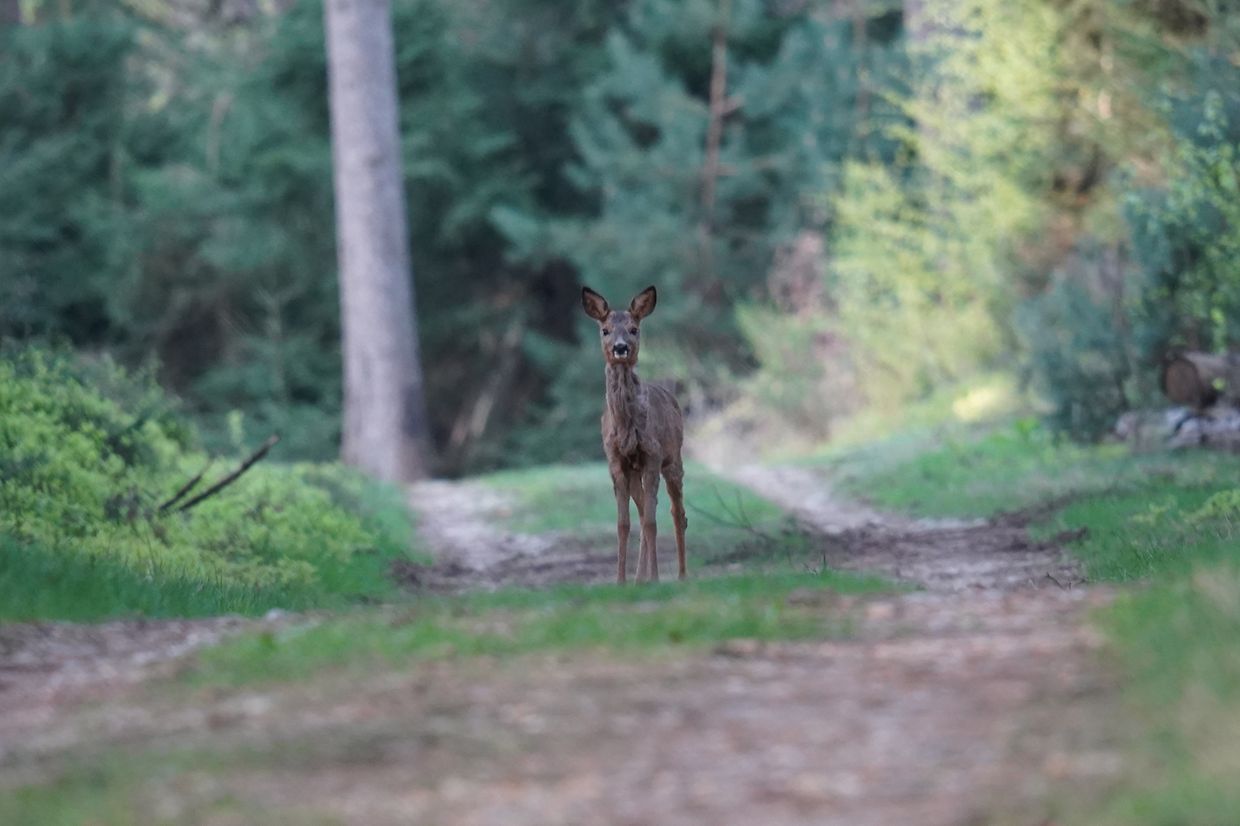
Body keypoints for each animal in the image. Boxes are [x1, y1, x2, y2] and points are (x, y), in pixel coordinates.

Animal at [581, 285, 687, 584]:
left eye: (633, 329)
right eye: (605, 330)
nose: (620, 348)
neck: (628, 427)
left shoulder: (652, 454)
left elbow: (652, 521)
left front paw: (655, 578)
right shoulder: (616, 461)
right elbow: (624, 523)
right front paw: (621, 581)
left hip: (674, 458)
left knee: (677, 513)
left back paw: (681, 575)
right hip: (636, 472)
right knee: (643, 512)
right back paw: (641, 577)